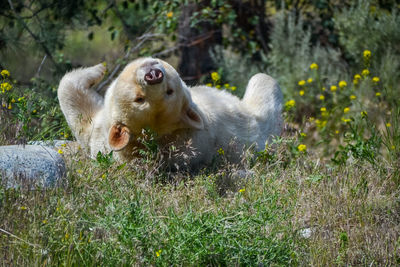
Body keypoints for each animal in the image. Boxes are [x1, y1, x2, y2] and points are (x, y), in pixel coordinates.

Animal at [57, 57, 282, 169]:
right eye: (140, 99)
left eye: (169, 91)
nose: (154, 75)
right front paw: (99, 68)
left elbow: (73, 102)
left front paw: (98, 68)